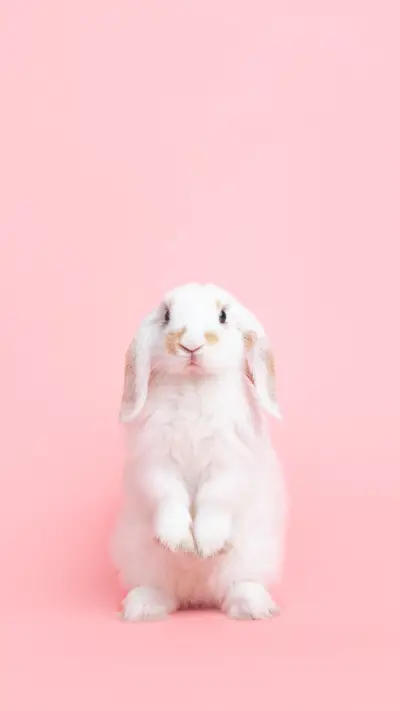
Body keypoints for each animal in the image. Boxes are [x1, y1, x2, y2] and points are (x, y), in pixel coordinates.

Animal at [111, 282, 287, 621]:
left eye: (223, 315)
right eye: (167, 315)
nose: (190, 345)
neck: (194, 384)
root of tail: (196, 595)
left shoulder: (229, 463)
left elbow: (215, 497)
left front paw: (206, 545)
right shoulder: (155, 463)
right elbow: (167, 495)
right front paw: (179, 542)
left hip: (252, 554)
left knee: (236, 586)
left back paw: (254, 607)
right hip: (140, 557)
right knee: (163, 591)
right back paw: (142, 607)